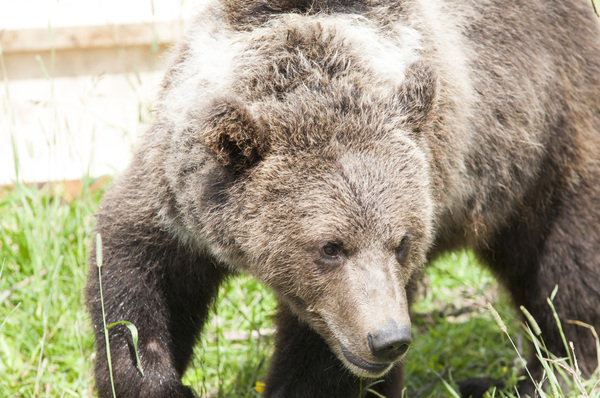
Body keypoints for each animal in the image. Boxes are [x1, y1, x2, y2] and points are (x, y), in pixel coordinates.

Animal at [86, 0, 600, 396]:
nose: (389, 340)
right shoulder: (177, 193)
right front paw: (153, 378)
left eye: (402, 241)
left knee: (565, 266)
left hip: (545, 136)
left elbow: (321, 364)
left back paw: (548, 373)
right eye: (330, 247)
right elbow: (135, 279)